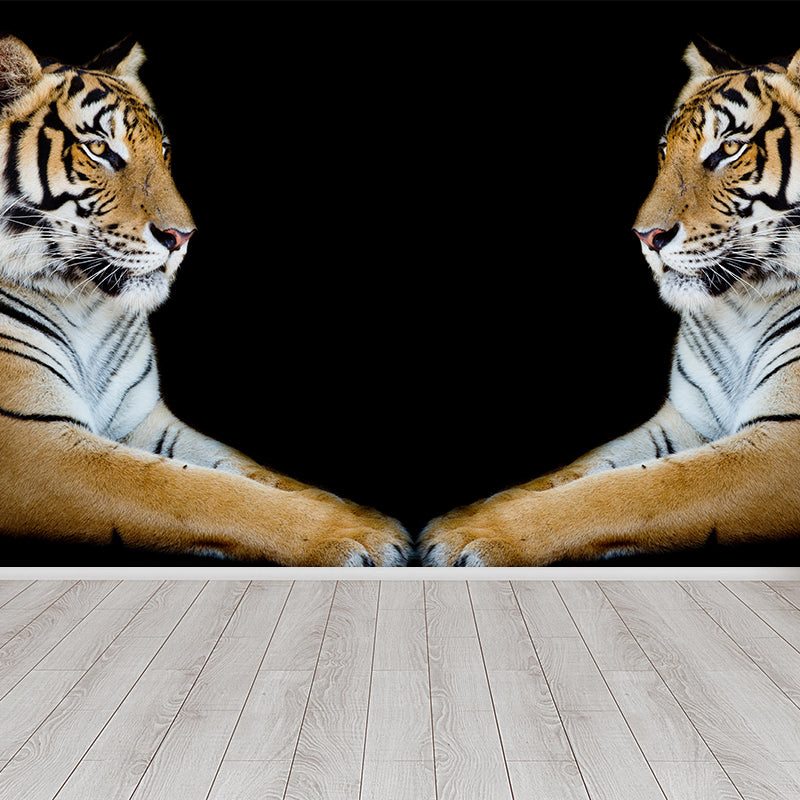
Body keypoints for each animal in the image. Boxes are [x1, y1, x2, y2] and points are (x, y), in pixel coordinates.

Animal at [0, 35, 411, 566]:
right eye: (99, 149)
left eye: (163, 150)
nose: (182, 237)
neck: (84, 304)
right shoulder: (34, 444)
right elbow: (197, 491)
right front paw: (358, 534)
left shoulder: (142, 419)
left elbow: (253, 471)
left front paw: (369, 516)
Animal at [421, 38, 800, 566]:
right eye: (664, 150)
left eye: (729, 148)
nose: (647, 237)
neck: (743, 303)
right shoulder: (686, 419)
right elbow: (576, 470)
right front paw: (459, 517)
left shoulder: (783, 442)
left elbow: (631, 490)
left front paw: (474, 535)